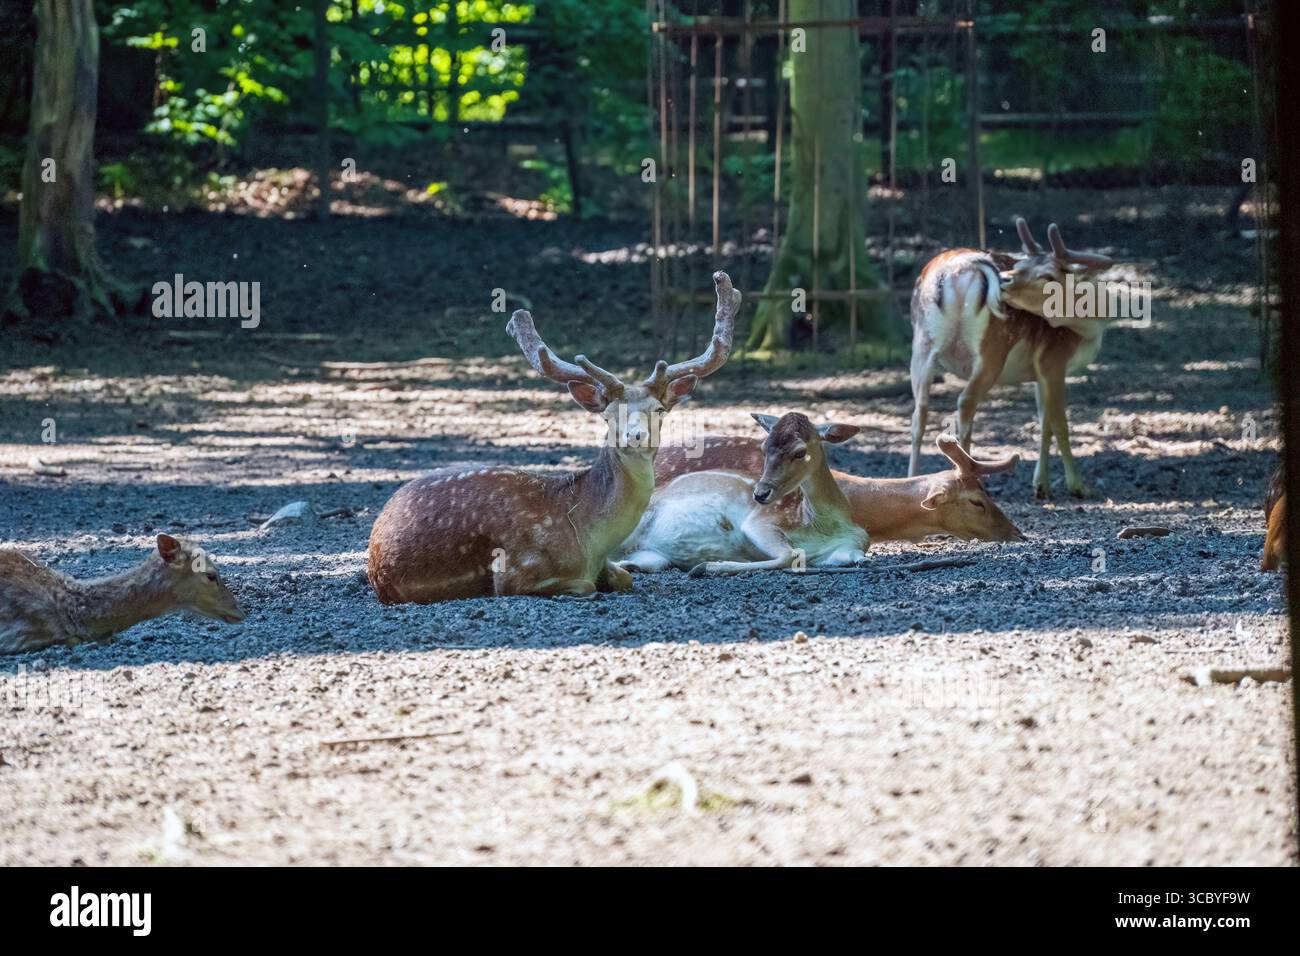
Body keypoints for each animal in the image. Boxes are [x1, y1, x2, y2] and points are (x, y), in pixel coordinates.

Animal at [366, 272, 739, 603]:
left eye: (659, 409)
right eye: (607, 414)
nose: (635, 436)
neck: (588, 542)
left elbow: (626, 578)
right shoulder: (517, 571)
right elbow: (583, 586)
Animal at [616, 411, 871, 576]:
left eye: (800, 452)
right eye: (764, 447)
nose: (760, 494)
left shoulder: (853, 545)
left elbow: (858, 557)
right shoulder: (763, 521)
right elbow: (791, 555)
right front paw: (708, 566)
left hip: (652, 556)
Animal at [909, 217, 1114, 499]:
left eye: (1046, 275)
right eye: (1021, 267)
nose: (1005, 281)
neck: (1088, 331)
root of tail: (952, 273)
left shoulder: (1038, 372)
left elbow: (1044, 422)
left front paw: (1041, 486)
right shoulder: (1053, 359)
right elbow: (1060, 423)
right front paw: (1078, 486)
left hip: (921, 346)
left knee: (919, 412)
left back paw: (910, 479)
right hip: (991, 349)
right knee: (965, 402)